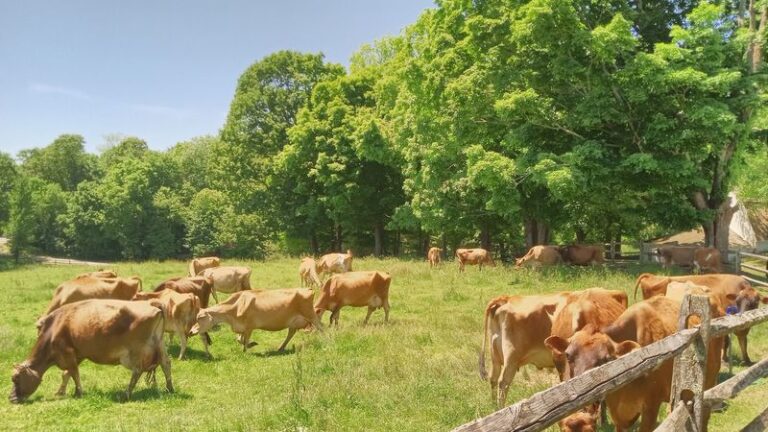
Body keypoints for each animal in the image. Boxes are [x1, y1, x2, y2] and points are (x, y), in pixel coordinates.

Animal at [10, 299, 173, 403]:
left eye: (16, 378)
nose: (10, 398)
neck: (54, 328)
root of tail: (152, 303)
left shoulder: (67, 352)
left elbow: (74, 373)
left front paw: (78, 393)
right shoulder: (78, 353)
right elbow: (67, 373)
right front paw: (60, 392)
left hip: (136, 350)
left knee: (137, 371)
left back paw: (126, 394)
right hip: (159, 344)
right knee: (166, 363)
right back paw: (169, 388)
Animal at [191, 289, 323, 357]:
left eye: (199, 318)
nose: (191, 331)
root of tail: (307, 289)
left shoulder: (250, 327)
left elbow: (244, 341)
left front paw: (247, 350)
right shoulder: (242, 327)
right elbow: (239, 339)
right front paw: (250, 345)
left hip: (310, 315)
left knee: (322, 327)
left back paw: (326, 341)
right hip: (294, 322)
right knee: (291, 333)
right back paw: (280, 348)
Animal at [633, 273, 767, 364]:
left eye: (755, 302)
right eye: (737, 301)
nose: (742, 315)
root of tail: (652, 276)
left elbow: (743, 341)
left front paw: (747, 360)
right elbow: (726, 341)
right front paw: (724, 359)